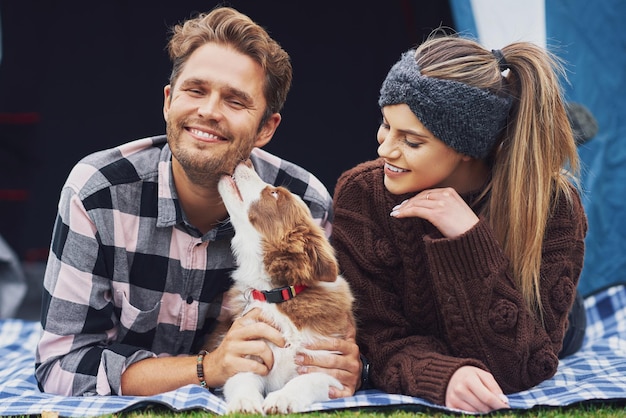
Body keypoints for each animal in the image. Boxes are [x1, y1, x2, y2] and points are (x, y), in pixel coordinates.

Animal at [202, 162, 354, 414]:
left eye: (274, 193)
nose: (245, 162)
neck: (278, 294)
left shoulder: (330, 368)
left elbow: (305, 381)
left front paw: (282, 398)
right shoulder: (244, 352)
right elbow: (242, 379)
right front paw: (244, 403)